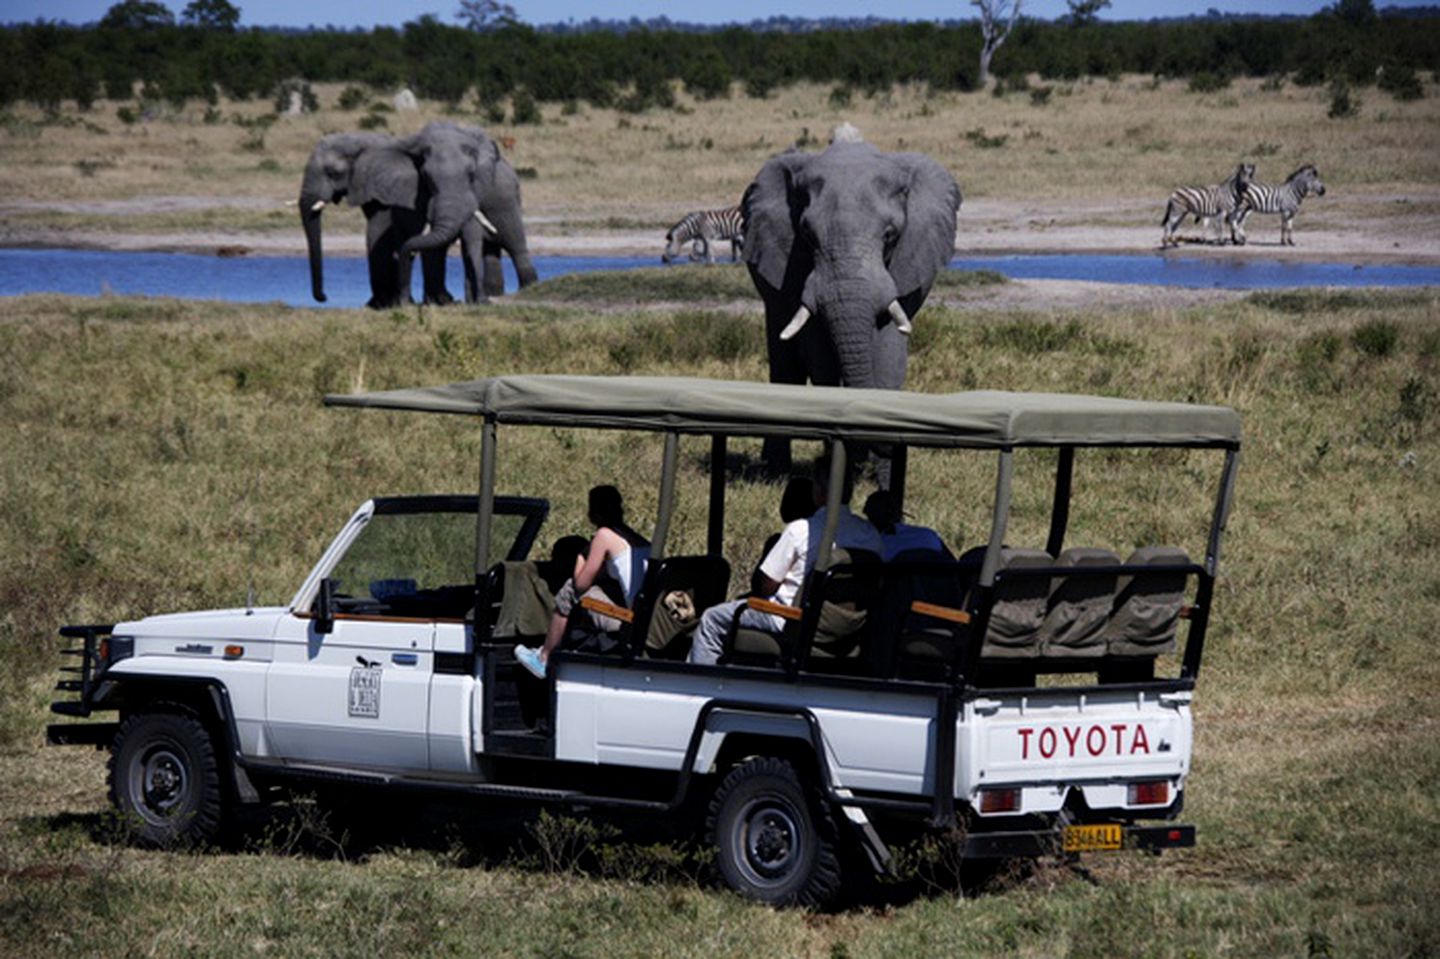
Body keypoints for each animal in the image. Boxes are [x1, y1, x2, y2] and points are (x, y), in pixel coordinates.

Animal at [397, 121, 538, 296]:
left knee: (514, 243)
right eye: (426, 177)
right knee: (491, 250)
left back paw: (529, 287)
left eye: (471, 175)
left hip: (506, 200)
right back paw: (493, 293)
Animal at [743, 138, 967, 475]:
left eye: (890, 235)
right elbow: (821, 354)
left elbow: (889, 350)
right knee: (785, 363)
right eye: (807, 236)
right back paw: (776, 470)